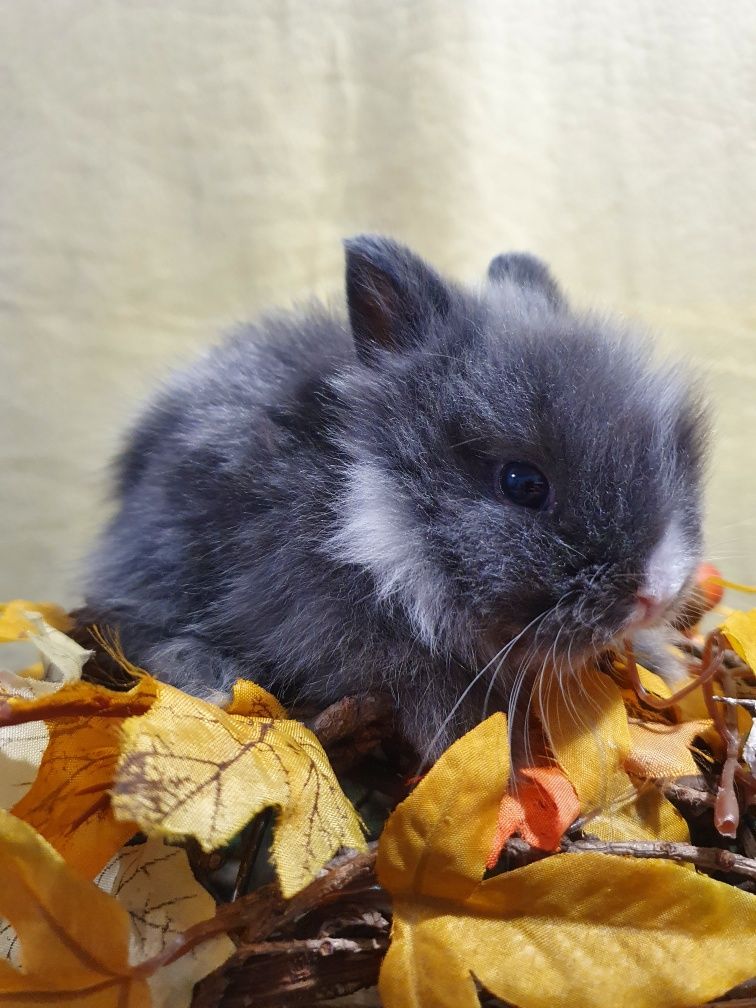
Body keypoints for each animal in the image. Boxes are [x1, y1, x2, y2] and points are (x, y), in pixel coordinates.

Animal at [84, 235, 709, 758]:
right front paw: (497, 754)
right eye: (523, 484)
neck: (373, 515)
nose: (657, 591)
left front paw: (663, 668)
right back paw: (209, 680)